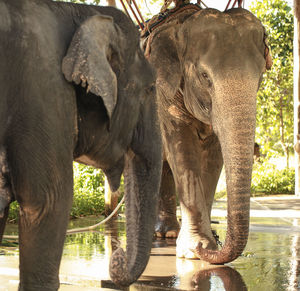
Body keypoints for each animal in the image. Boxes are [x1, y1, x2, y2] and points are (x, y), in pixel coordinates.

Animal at [141, 6, 272, 262]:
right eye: (204, 77)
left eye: (261, 75)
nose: (216, 242)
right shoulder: (164, 95)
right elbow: (181, 145)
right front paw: (195, 250)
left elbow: (214, 155)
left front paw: (203, 246)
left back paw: (168, 233)